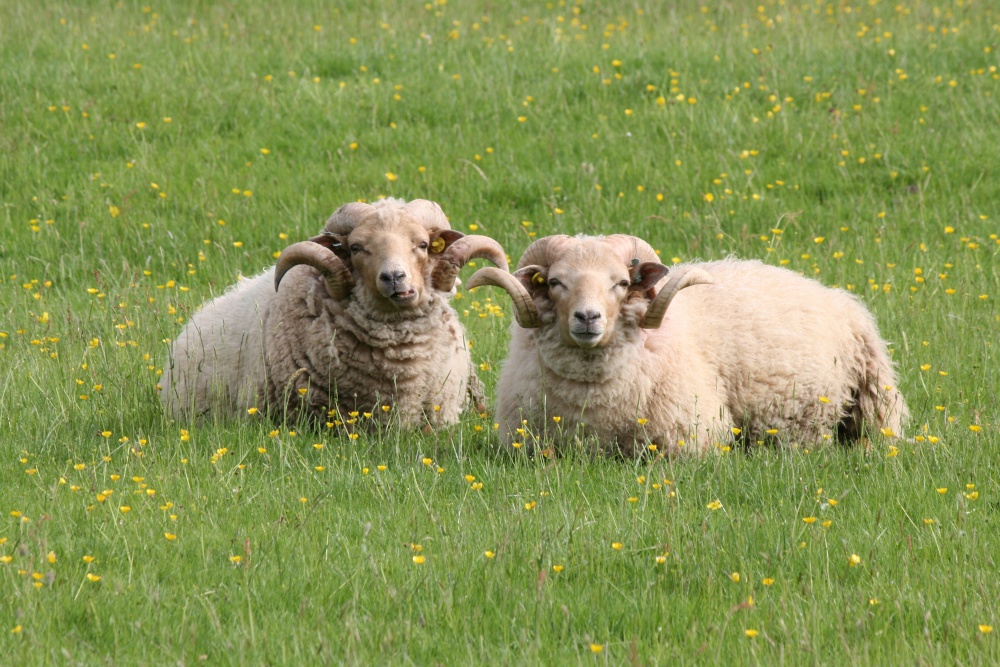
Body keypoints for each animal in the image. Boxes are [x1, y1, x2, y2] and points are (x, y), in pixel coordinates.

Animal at [468, 232, 908, 456]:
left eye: (622, 283)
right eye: (556, 282)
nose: (588, 317)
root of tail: (840, 298)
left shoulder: (692, 439)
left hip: (831, 412)